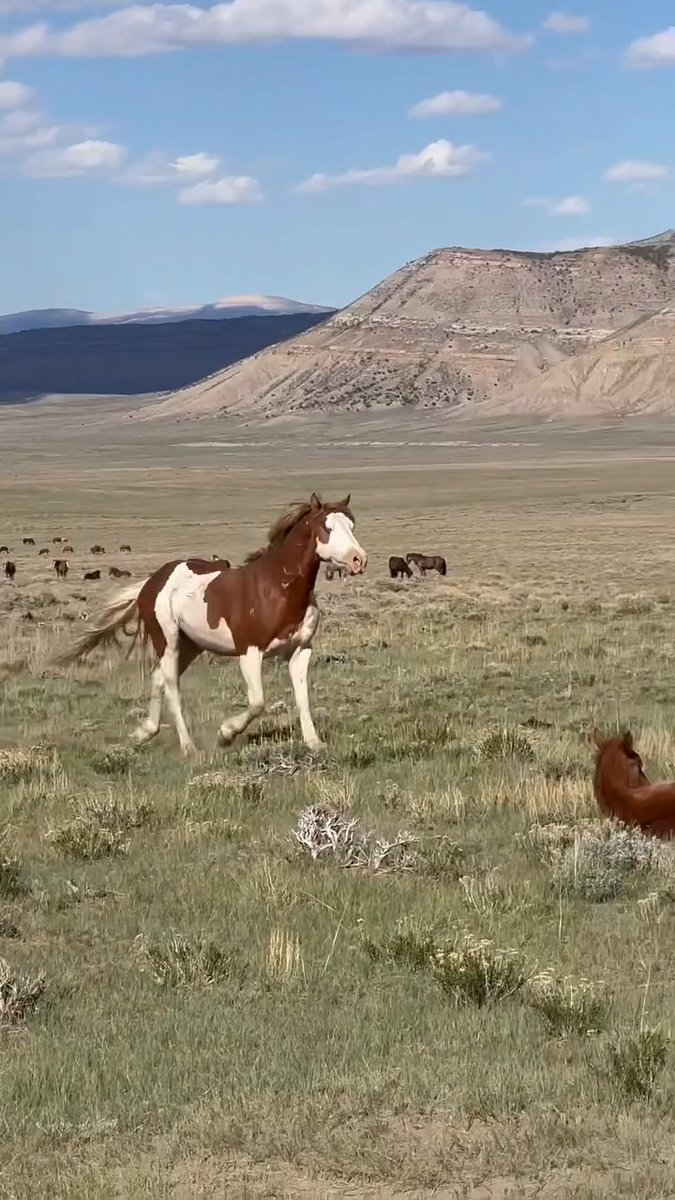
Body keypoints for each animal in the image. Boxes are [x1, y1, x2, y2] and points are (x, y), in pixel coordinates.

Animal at [55, 493, 367, 757]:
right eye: (327, 527)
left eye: (352, 525)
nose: (358, 560)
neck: (277, 588)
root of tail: (151, 583)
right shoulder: (249, 651)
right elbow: (257, 702)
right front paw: (225, 734)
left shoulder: (301, 649)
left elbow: (302, 696)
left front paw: (315, 743)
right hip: (167, 641)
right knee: (171, 686)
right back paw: (188, 747)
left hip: (191, 645)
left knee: (158, 679)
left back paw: (144, 732)